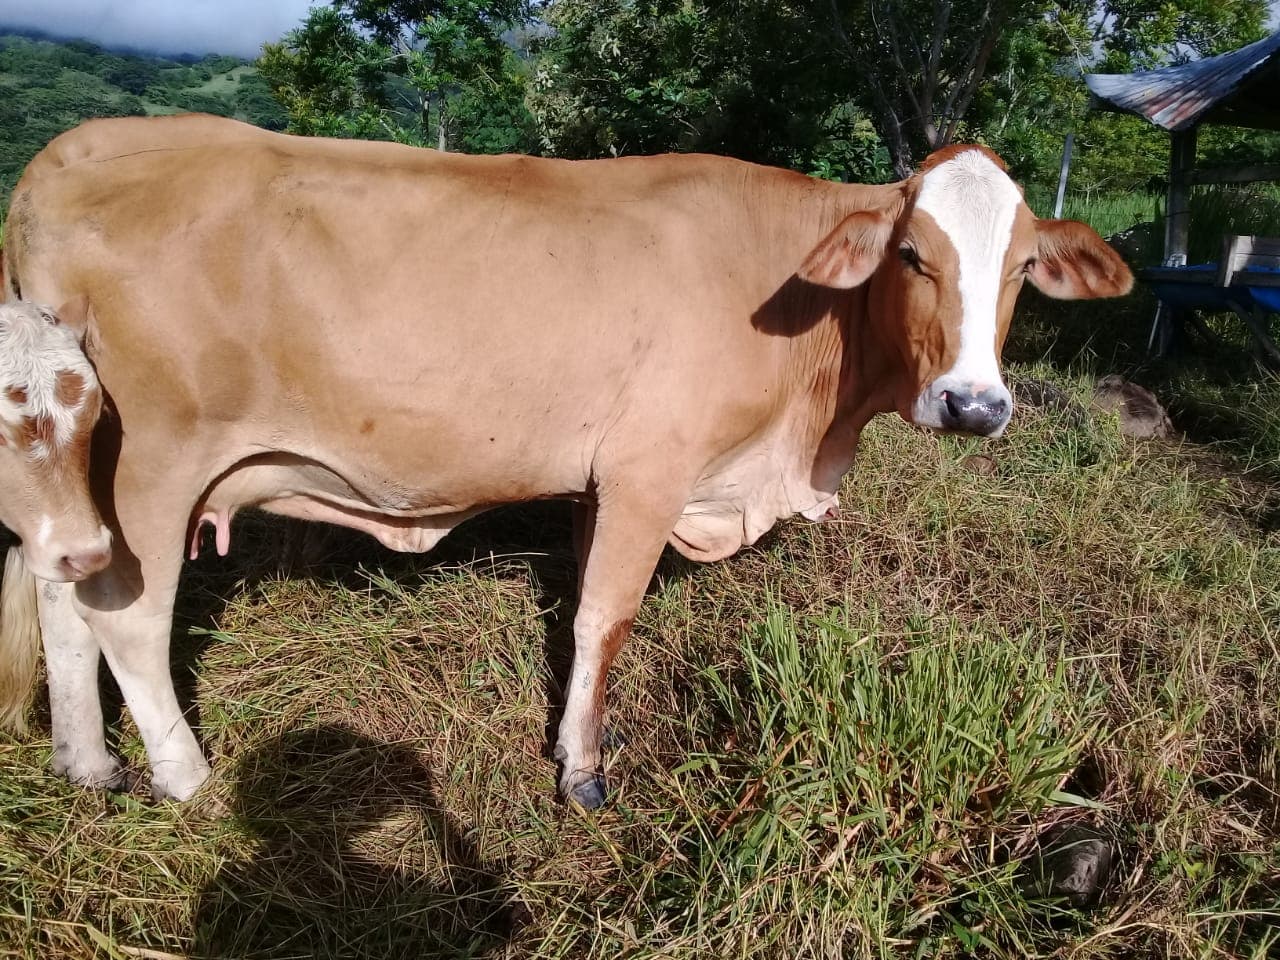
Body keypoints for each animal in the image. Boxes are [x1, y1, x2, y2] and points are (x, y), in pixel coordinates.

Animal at [0, 115, 1132, 807]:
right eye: (910, 255)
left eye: (1023, 268)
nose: (974, 404)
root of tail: (69, 156)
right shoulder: (650, 469)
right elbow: (608, 615)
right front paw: (582, 771)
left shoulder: (602, 481)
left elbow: (584, 611)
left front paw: (575, 737)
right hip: (154, 464)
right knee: (126, 619)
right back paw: (185, 777)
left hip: (82, 468)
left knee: (63, 596)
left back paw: (86, 761)